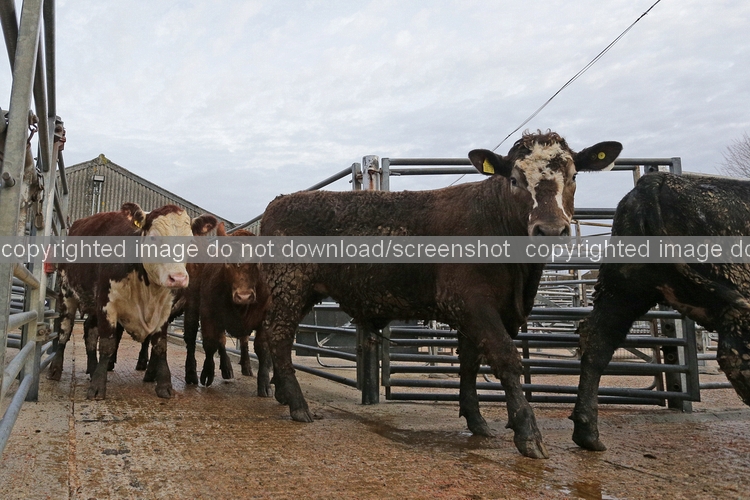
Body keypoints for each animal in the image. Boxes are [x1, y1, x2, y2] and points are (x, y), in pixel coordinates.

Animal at [48, 204, 194, 399]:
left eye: (190, 243)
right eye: (154, 238)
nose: (178, 278)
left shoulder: (164, 311)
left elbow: (160, 345)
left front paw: (164, 384)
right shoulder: (107, 304)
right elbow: (108, 344)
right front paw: (98, 385)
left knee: (89, 330)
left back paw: (92, 367)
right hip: (67, 294)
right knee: (65, 330)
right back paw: (55, 369)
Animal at [182, 229, 272, 391]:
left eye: (258, 261)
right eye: (228, 260)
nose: (244, 296)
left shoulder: (264, 318)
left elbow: (262, 348)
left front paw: (264, 383)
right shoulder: (208, 315)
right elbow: (210, 344)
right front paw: (207, 372)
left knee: (240, 341)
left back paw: (242, 366)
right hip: (192, 305)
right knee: (192, 337)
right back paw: (194, 373)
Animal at [259, 130, 622, 458]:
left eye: (573, 176)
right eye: (515, 179)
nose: (550, 230)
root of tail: (280, 201)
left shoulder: (482, 313)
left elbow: (470, 363)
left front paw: (476, 421)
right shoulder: (471, 303)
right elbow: (506, 357)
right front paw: (528, 433)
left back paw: (281, 394)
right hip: (289, 286)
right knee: (278, 336)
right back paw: (298, 404)